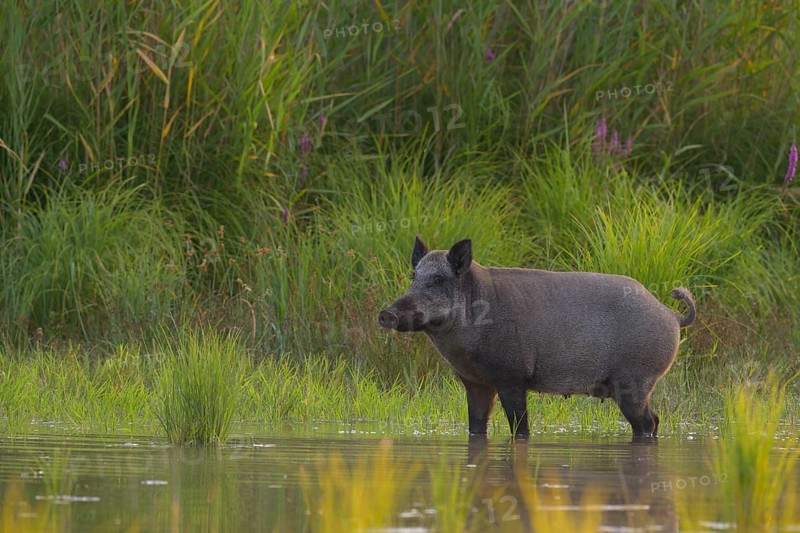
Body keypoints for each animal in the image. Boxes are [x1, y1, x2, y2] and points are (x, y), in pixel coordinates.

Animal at [378, 237, 696, 438]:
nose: (386, 313)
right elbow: (476, 426)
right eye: (414, 277)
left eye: (438, 280)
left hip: (634, 381)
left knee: (648, 423)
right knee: (655, 421)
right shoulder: (475, 382)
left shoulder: (511, 376)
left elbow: (520, 428)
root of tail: (672, 315)